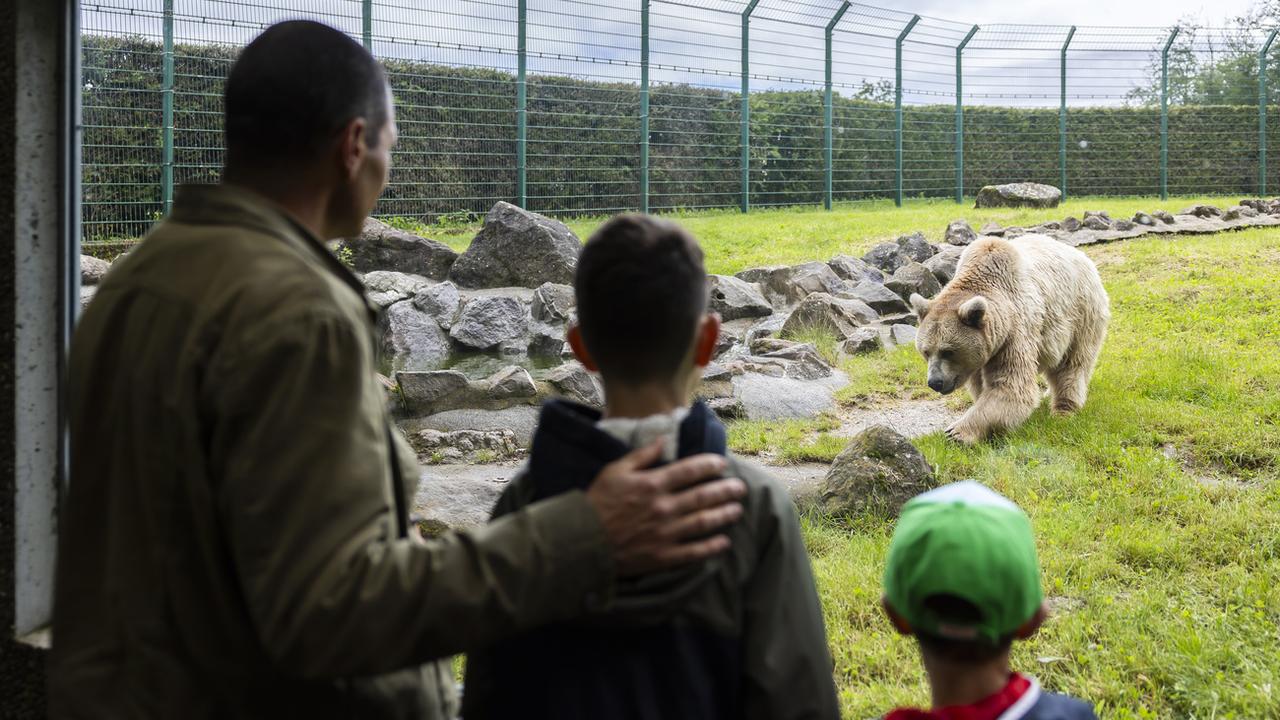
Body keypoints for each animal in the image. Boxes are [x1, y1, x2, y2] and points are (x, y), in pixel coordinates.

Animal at [911, 233, 1111, 443]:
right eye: (925, 351)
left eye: (948, 351)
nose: (935, 382)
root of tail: (1083, 257)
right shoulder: (983, 352)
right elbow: (982, 385)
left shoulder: (1014, 334)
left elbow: (1011, 386)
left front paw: (957, 432)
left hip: (1080, 314)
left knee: (1072, 365)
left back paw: (1063, 409)